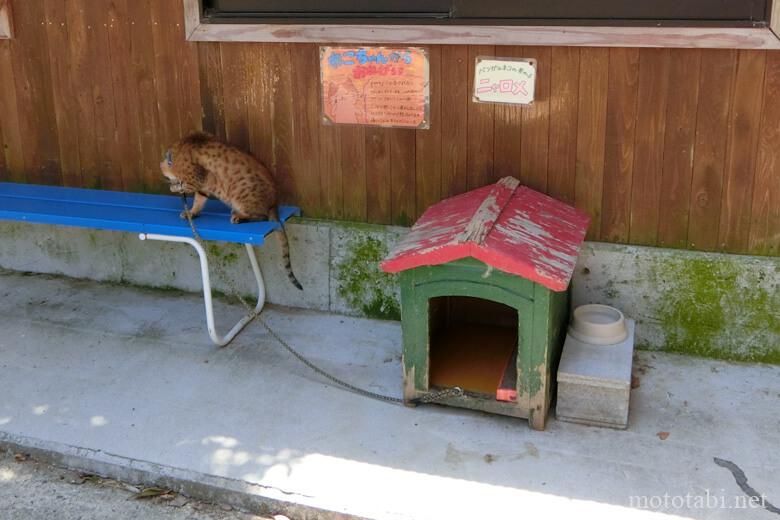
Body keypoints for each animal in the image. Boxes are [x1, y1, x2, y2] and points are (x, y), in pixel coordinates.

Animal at [161, 132, 302, 290]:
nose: (167, 178)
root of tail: (274, 204)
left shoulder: (196, 180)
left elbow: (187, 189)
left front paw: (174, 187)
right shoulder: (203, 187)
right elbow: (198, 201)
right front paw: (191, 213)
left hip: (240, 197)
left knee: (262, 216)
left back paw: (239, 217)